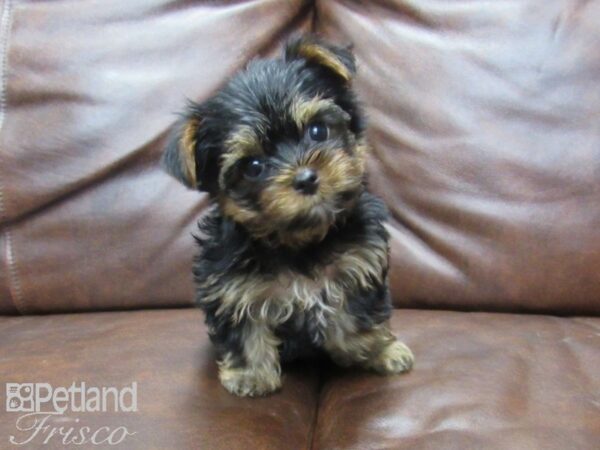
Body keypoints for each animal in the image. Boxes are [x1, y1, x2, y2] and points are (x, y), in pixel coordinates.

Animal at [162, 35, 414, 396]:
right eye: (253, 166)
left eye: (318, 131)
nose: (306, 178)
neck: (299, 239)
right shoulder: (229, 284)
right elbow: (244, 325)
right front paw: (250, 374)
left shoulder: (360, 262)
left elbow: (358, 314)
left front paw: (372, 349)